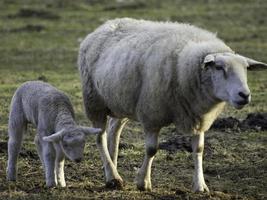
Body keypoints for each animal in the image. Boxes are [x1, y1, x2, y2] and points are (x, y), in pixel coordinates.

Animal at [78, 18, 267, 192]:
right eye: (219, 67)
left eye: (246, 69)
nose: (244, 95)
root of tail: (104, 25)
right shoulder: (152, 115)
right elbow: (152, 150)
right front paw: (143, 182)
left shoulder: (198, 116)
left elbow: (199, 149)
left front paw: (200, 185)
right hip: (94, 102)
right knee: (100, 138)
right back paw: (113, 177)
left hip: (121, 101)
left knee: (114, 131)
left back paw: (112, 168)